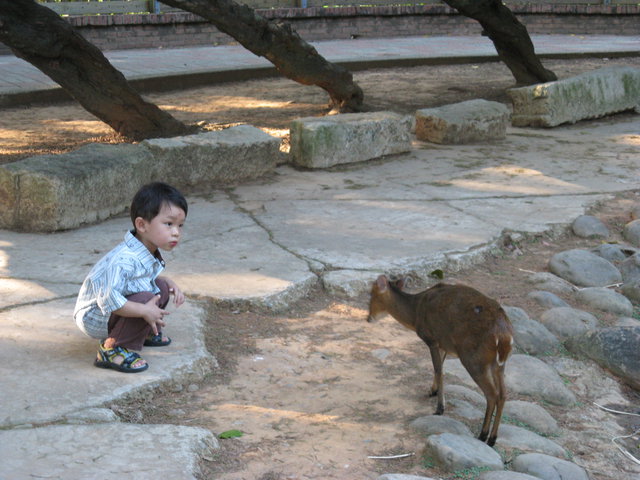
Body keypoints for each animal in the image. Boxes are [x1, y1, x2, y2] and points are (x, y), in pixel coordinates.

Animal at [368, 274, 512, 446]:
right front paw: (433, 391)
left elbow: (438, 369)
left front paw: (439, 408)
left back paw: (483, 435)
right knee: (503, 394)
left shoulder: (431, 339)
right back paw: (492, 438)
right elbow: (440, 368)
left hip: (474, 359)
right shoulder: (444, 344)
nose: (368, 317)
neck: (415, 314)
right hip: (498, 363)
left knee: (492, 394)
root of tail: (504, 336)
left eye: (371, 294)